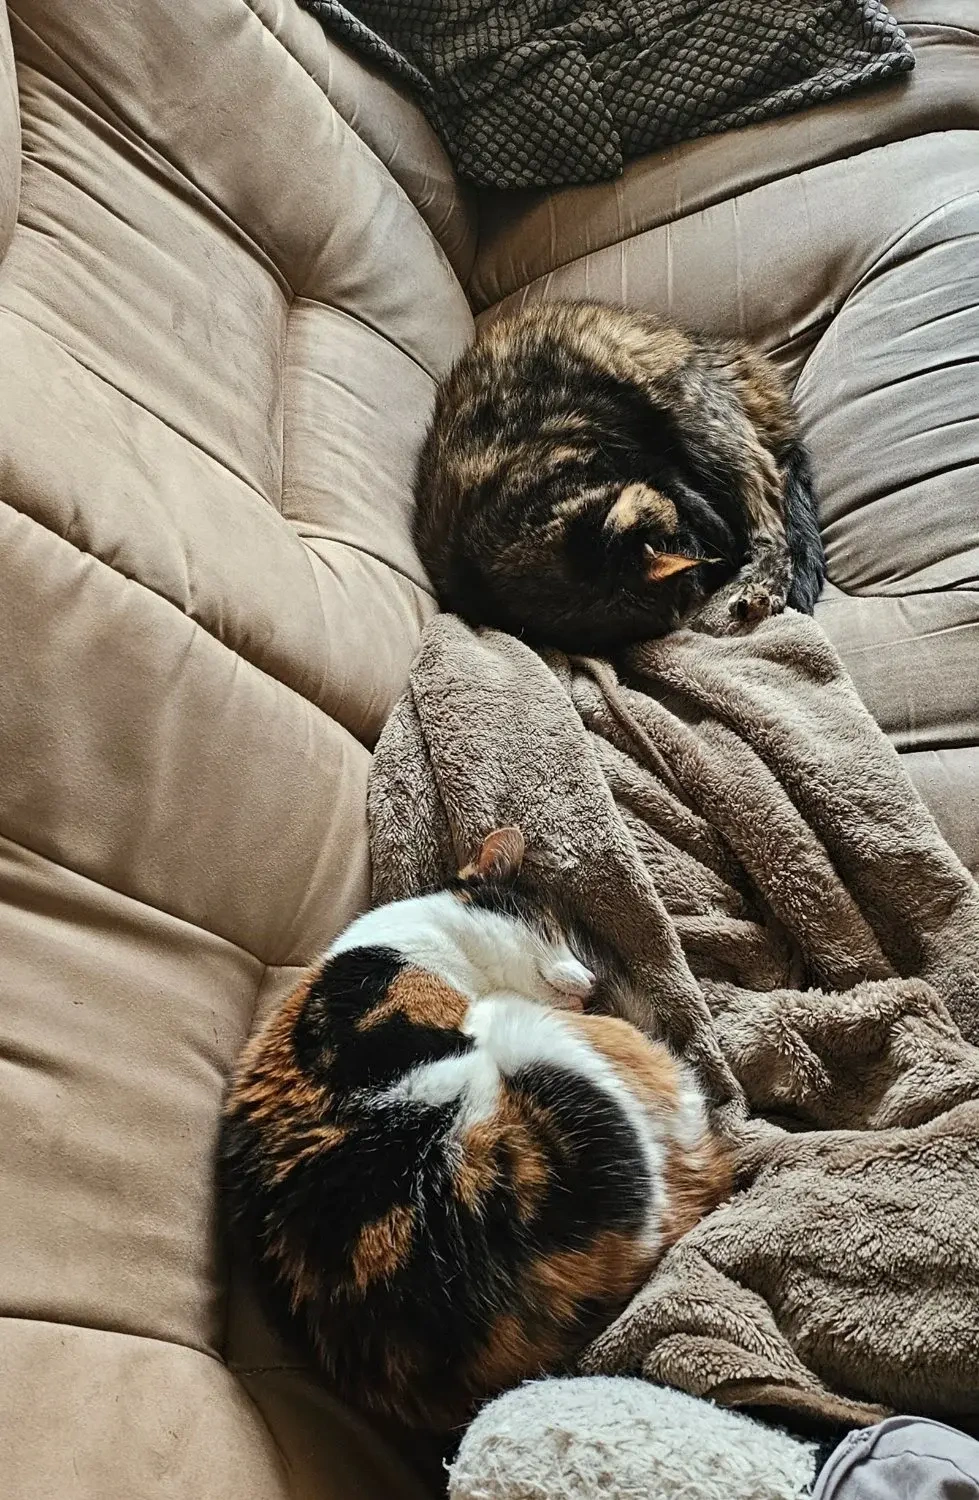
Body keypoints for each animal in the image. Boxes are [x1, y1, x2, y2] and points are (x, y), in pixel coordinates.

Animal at [413, 299, 825, 651]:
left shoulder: (639, 460)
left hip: (699, 421)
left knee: (771, 520)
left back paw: (758, 586)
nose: (718, 563)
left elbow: (692, 498)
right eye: (689, 557)